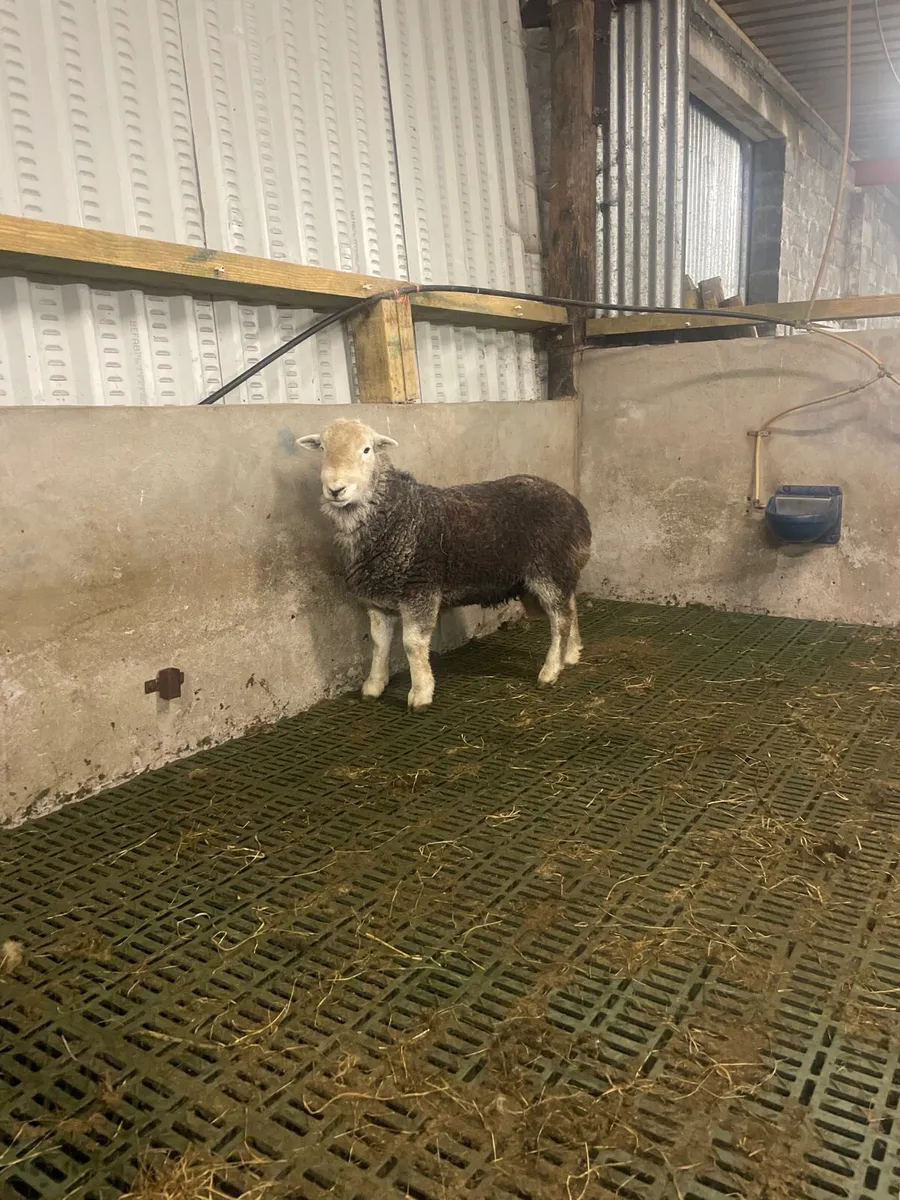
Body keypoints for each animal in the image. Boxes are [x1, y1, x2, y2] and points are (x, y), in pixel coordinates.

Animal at [297, 418, 592, 710]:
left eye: (367, 449)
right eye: (322, 448)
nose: (336, 489)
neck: (397, 514)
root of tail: (574, 504)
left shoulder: (420, 590)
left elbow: (412, 644)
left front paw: (421, 693)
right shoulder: (376, 598)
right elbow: (379, 643)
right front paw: (374, 685)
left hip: (549, 569)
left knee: (561, 618)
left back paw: (550, 670)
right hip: (560, 569)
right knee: (571, 606)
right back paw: (571, 654)